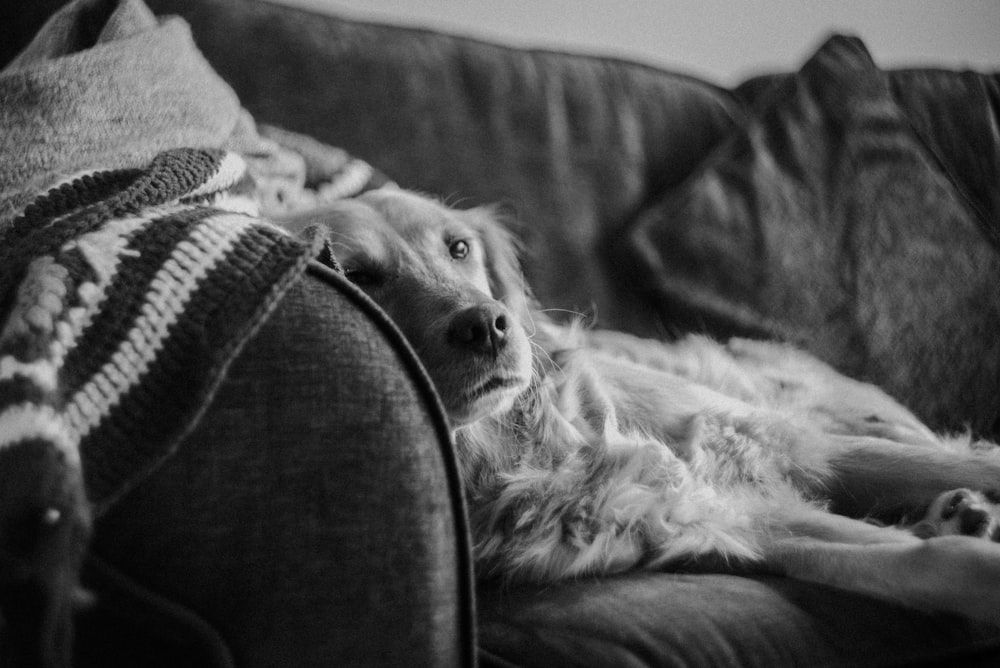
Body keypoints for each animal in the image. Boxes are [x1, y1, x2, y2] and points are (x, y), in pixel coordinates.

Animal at [278, 189, 1000, 628]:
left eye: (458, 248)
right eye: (358, 276)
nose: (487, 326)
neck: (528, 441)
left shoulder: (797, 445)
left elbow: (948, 469)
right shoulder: (732, 520)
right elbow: (921, 564)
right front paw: (961, 549)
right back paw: (956, 517)